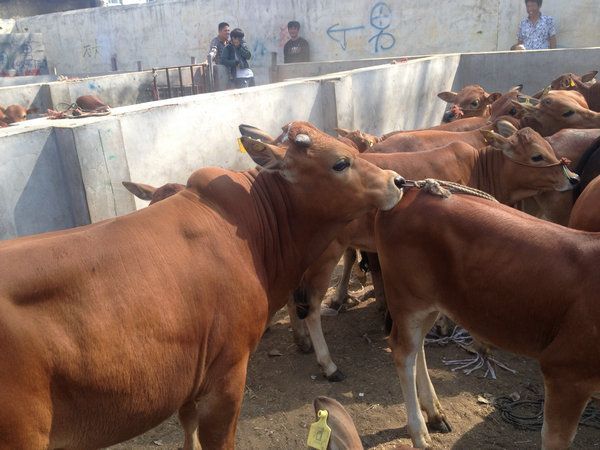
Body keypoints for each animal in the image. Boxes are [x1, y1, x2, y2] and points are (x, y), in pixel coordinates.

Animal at [0, 121, 404, 448]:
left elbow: (187, 430)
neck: (253, 228)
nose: (397, 181)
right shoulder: (225, 377)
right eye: (340, 162)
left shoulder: (191, 383)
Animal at [376, 188, 600, 448]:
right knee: (403, 352)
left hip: (431, 303)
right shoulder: (566, 371)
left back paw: (435, 413)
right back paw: (420, 434)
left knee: (416, 347)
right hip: (408, 299)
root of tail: (410, 190)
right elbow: (556, 438)